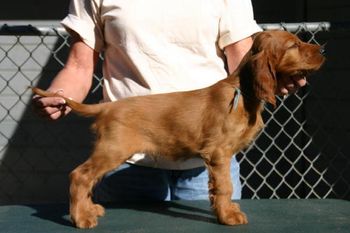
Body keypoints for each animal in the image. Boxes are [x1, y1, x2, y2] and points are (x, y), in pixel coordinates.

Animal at [31, 30, 324, 228]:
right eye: (294, 45)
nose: (322, 50)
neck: (242, 92)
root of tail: (108, 107)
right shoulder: (218, 154)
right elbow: (225, 186)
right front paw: (228, 216)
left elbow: (218, 189)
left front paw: (224, 210)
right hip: (113, 149)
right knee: (80, 175)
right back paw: (81, 218)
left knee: (88, 178)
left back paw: (90, 210)